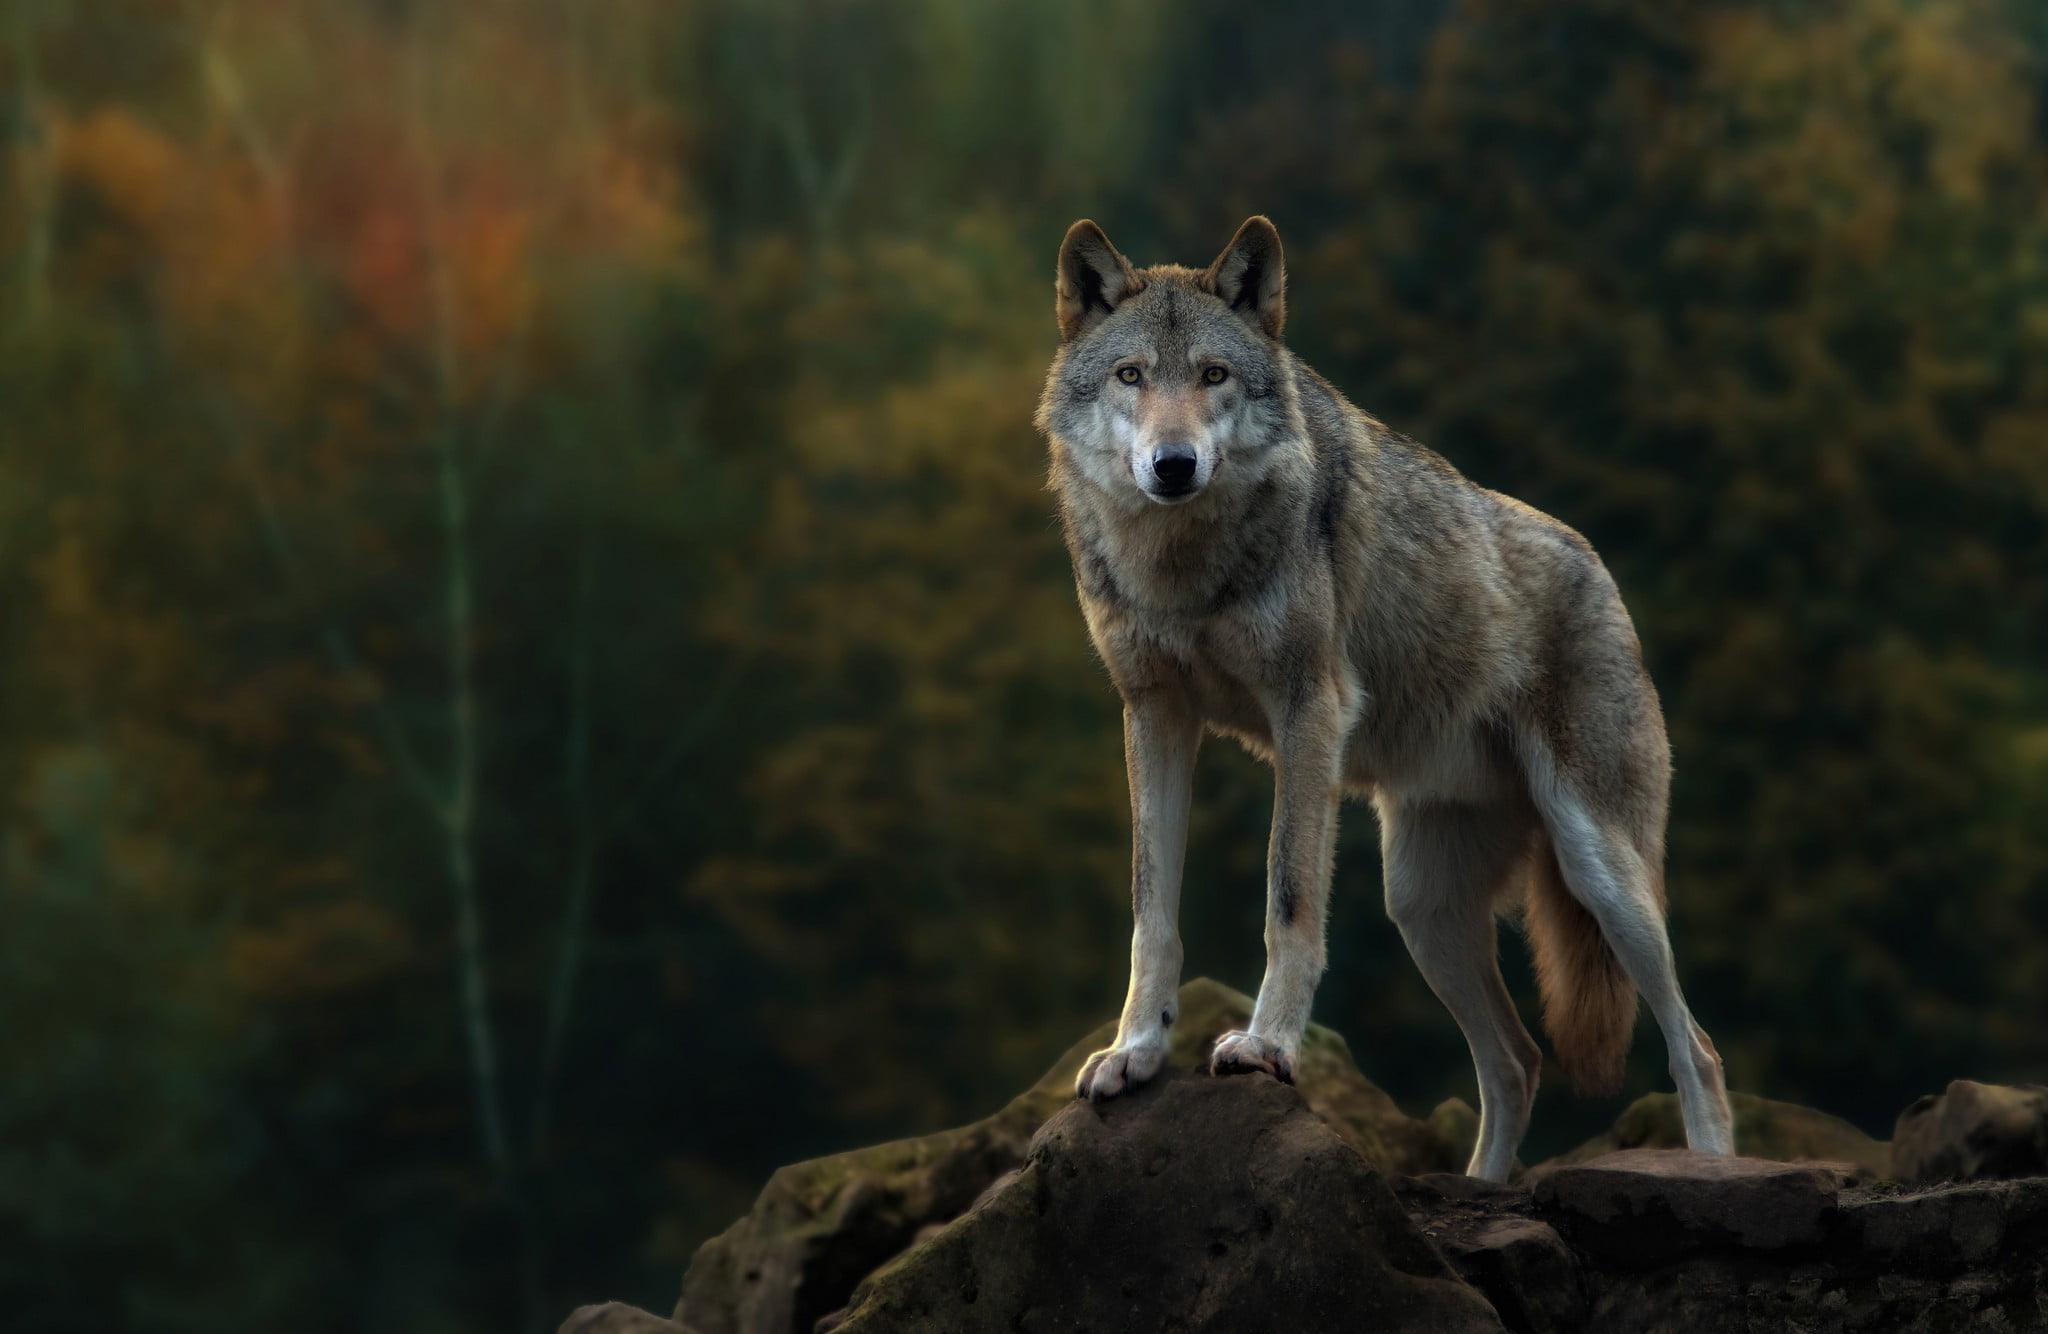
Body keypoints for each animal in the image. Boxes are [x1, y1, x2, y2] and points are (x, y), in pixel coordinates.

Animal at [1034, 216, 1735, 1180]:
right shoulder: (1154, 716)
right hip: (1421, 905)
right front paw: (1136, 1052)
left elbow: (1288, 899)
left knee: (1694, 1048)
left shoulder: (1309, 712)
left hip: (1601, 872)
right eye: (1131, 376)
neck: (1183, 568)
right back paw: (1481, 1186)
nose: (1173, 465)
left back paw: (1715, 1170)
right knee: (1517, 1062)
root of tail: (1600, 571)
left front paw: (1266, 1047)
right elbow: (1153, 913)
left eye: (1213, 375)